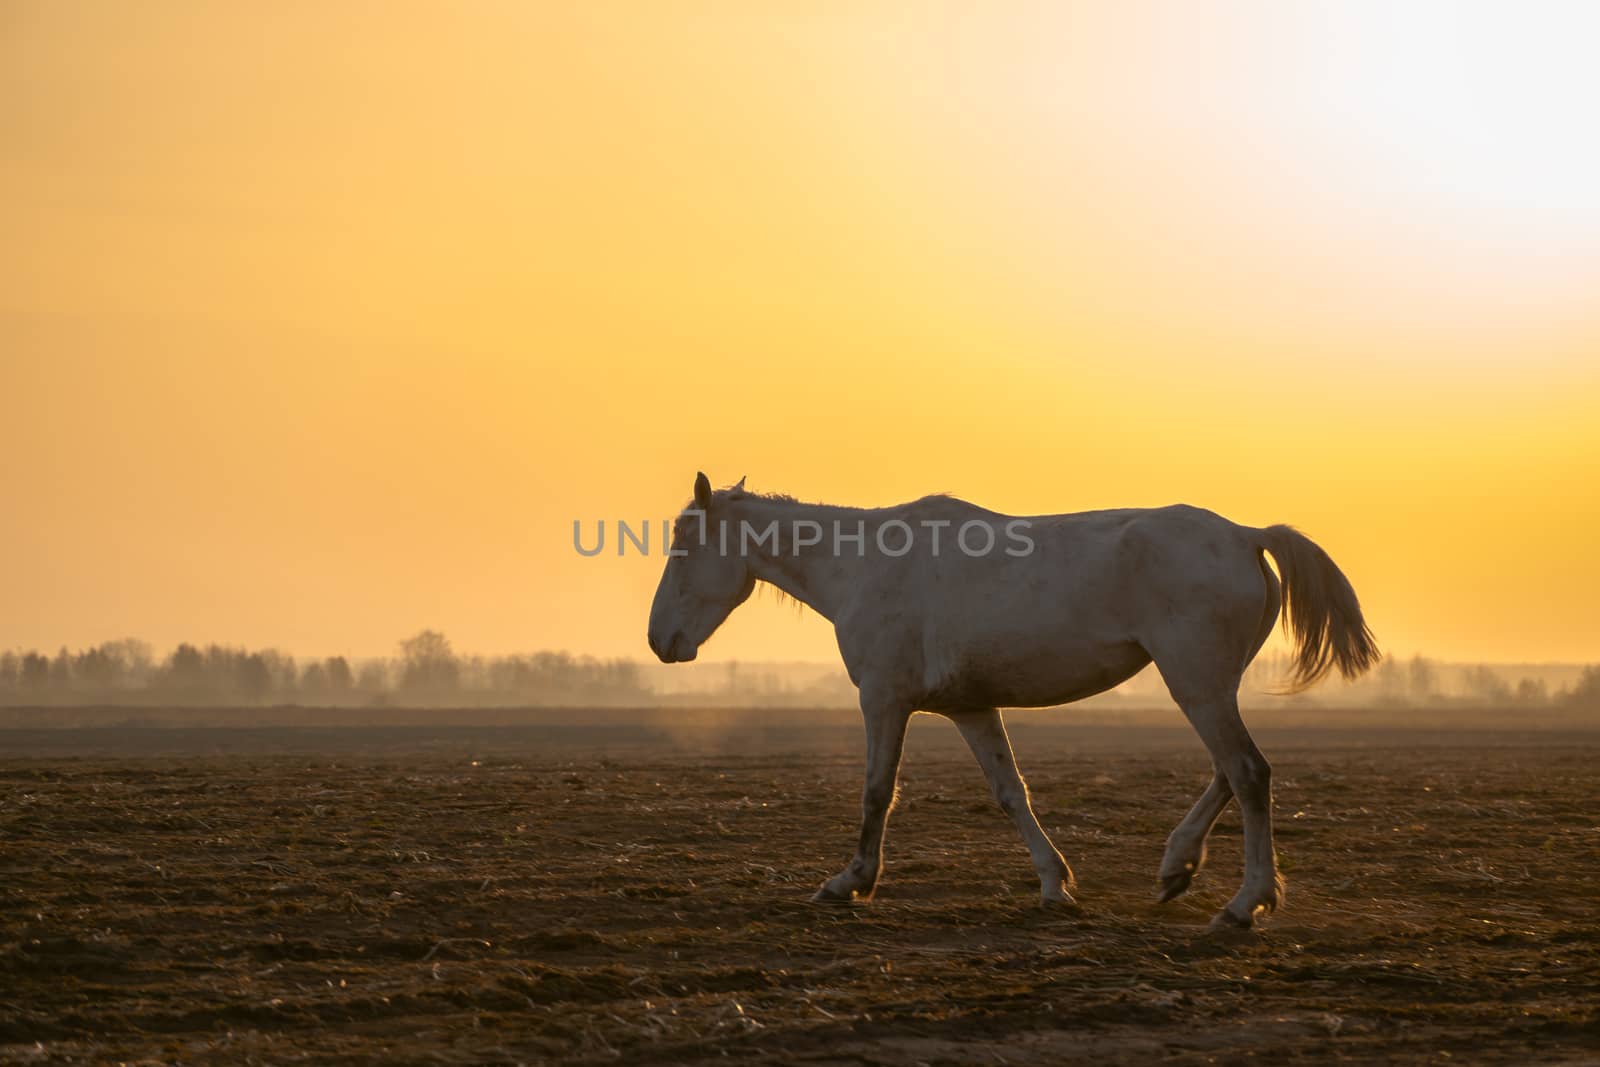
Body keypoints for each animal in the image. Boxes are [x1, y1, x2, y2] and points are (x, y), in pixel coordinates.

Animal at [646, 473, 1376, 927]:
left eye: (684, 547)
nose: (659, 640)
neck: (863, 568)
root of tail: (1246, 534)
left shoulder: (884, 700)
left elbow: (877, 792)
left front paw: (850, 881)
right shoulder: (971, 709)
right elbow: (1010, 791)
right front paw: (1056, 884)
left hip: (1197, 686)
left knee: (1248, 773)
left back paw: (1244, 903)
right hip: (1208, 687)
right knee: (1230, 772)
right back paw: (1177, 868)